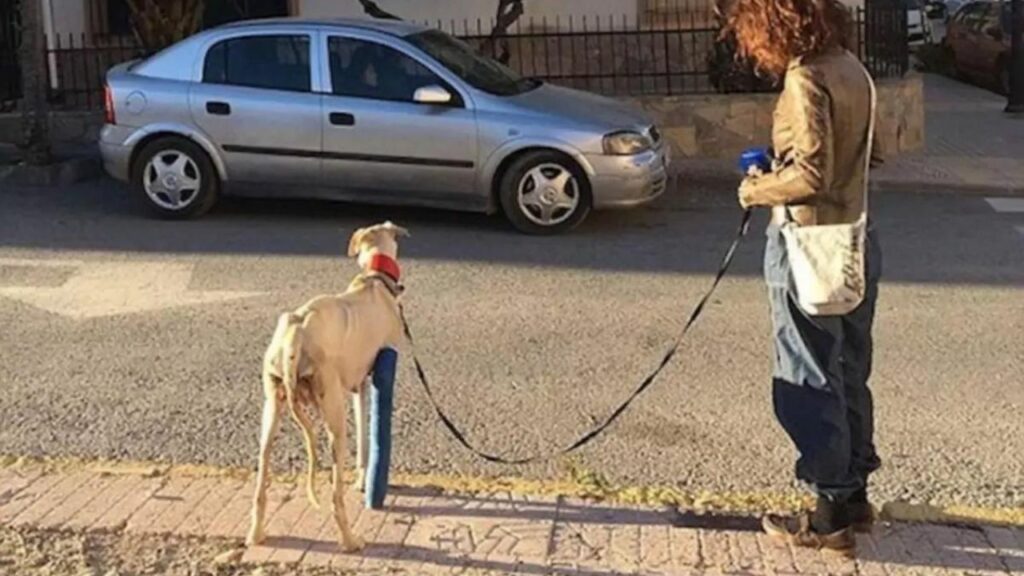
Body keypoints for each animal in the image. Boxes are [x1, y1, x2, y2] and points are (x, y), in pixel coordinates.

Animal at [246, 220, 407, 553]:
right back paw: (350, 540)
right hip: (333, 412)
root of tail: (295, 334)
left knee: (261, 474)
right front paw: (363, 481)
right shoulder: (373, 377)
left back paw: (255, 533)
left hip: (272, 408)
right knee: (335, 497)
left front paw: (361, 477)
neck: (373, 280)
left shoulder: (359, 385)